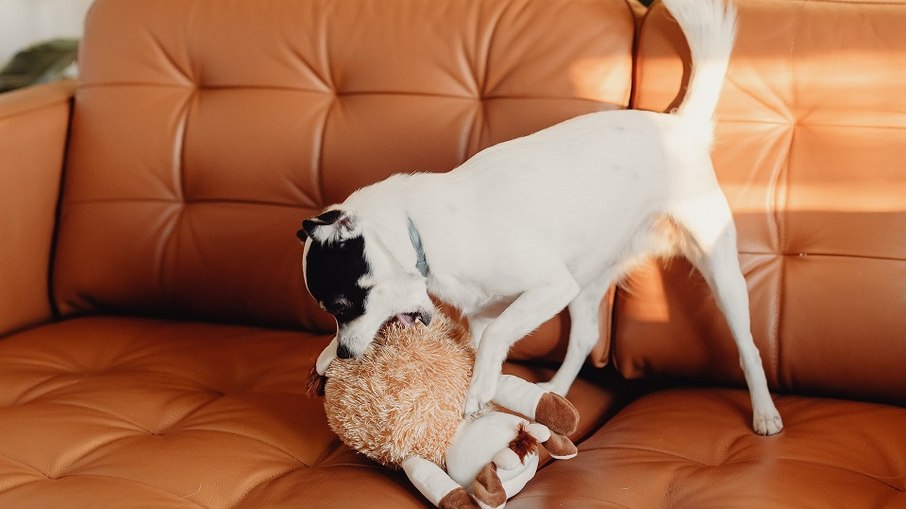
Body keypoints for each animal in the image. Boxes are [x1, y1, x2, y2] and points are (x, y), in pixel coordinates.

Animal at [300, 0, 780, 436]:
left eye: (340, 306)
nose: (343, 356)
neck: (419, 229)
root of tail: (681, 126)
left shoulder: (549, 288)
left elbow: (498, 336)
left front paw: (478, 392)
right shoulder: (490, 312)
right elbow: (484, 340)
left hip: (716, 267)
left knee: (748, 347)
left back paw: (764, 412)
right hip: (588, 276)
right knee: (585, 337)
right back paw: (556, 393)